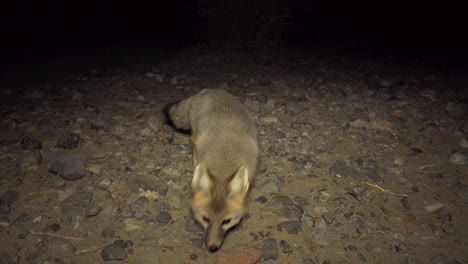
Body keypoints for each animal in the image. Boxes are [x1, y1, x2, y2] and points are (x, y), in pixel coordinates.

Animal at [168, 88, 260, 252]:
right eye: (205, 219)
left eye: (227, 221)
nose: (212, 248)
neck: (225, 157)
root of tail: (209, 89)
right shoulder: (197, 150)